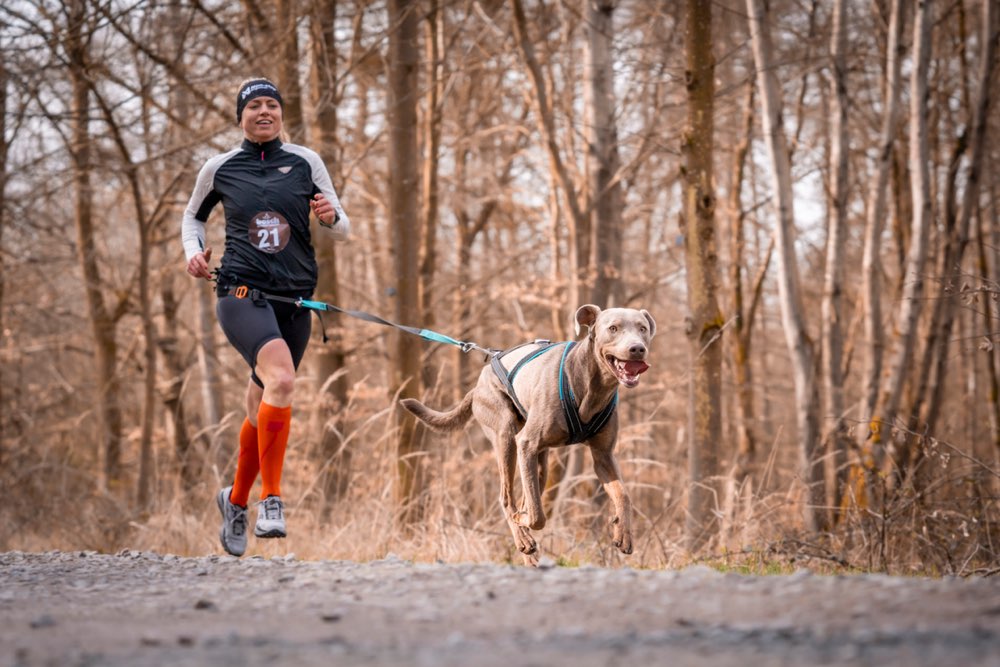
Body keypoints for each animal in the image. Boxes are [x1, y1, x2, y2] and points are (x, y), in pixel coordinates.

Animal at [400, 306, 656, 560]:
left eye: (642, 329)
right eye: (613, 328)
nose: (637, 348)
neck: (591, 386)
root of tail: (476, 387)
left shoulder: (603, 455)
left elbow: (623, 495)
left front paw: (623, 532)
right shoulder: (526, 443)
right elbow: (536, 516)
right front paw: (522, 520)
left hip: (539, 461)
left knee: (526, 496)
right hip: (506, 436)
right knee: (508, 498)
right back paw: (522, 536)